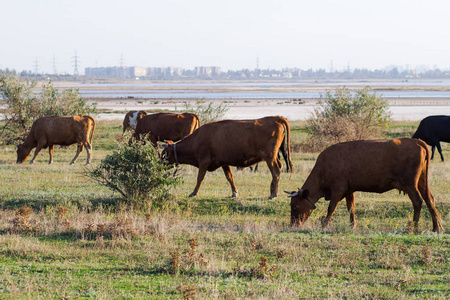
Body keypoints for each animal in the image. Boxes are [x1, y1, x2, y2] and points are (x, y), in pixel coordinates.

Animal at [163, 116, 294, 198]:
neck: (197, 138)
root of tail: (275, 118)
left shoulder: (203, 162)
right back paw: (272, 190)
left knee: (275, 171)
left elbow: (199, 177)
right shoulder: (224, 162)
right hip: (273, 157)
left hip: (269, 157)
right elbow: (229, 177)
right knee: (278, 168)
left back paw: (273, 194)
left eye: (163, 154)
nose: (159, 164)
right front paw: (234, 192)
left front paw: (194, 193)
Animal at [284, 138, 442, 232]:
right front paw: (352, 225)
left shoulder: (338, 189)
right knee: (430, 201)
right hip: (422, 183)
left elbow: (331, 208)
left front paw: (324, 224)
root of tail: (416, 141)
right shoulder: (349, 190)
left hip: (410, 185)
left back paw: (413, 227)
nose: (292, 225)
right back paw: (436, 228)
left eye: (295, 206)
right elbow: (351, 208)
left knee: (417, 201)